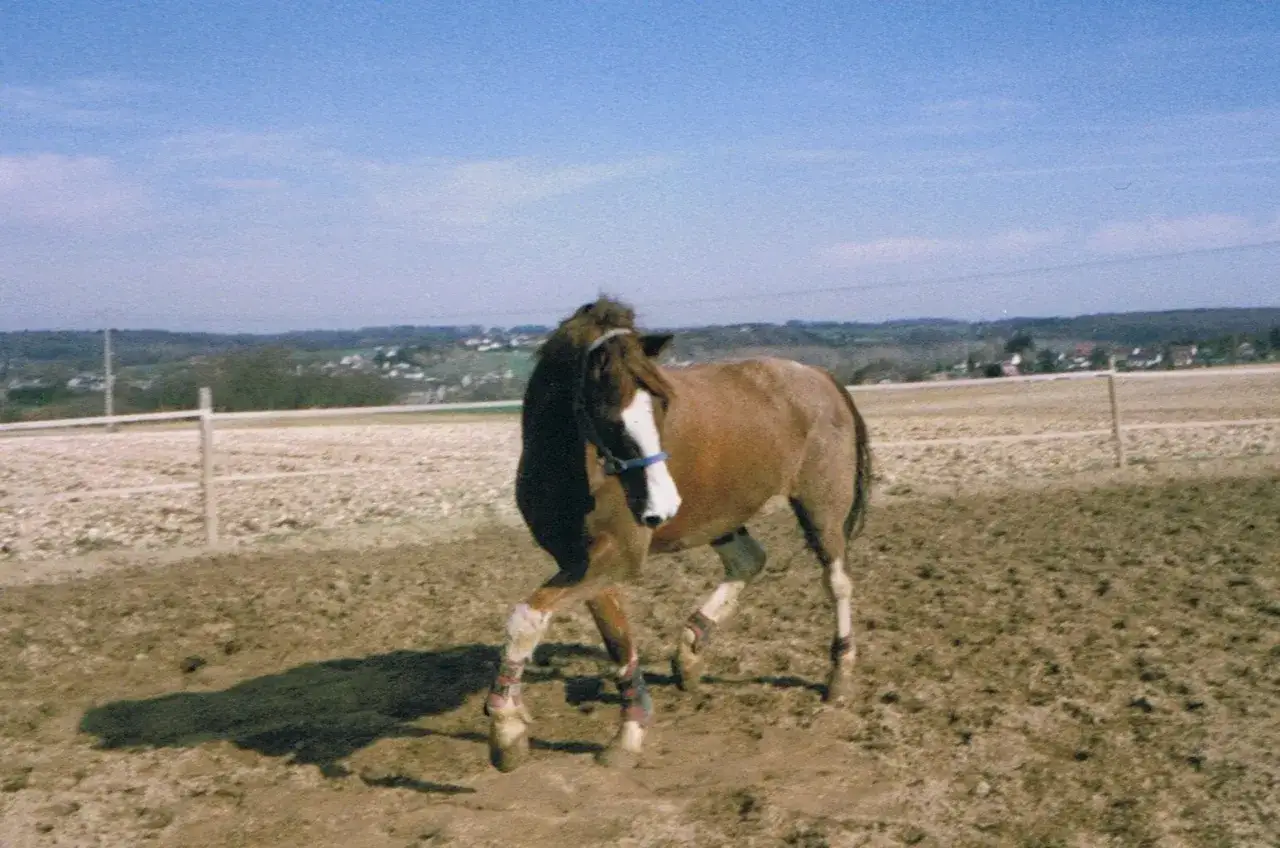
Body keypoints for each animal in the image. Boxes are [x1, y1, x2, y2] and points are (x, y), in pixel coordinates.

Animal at [482, 296, 872, 771]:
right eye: (610, 416)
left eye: (663, 405)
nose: (664, 506)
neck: (568, 462)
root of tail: (820, 376)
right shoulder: (578, 559)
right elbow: (616, 640)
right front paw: (628, 729)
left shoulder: (617, 555)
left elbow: (526, 617)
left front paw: (506, 725)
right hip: (722, 512)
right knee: (749, 559)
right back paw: (690, 648)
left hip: (821, 507)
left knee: (837, 582)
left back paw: (839, 674)